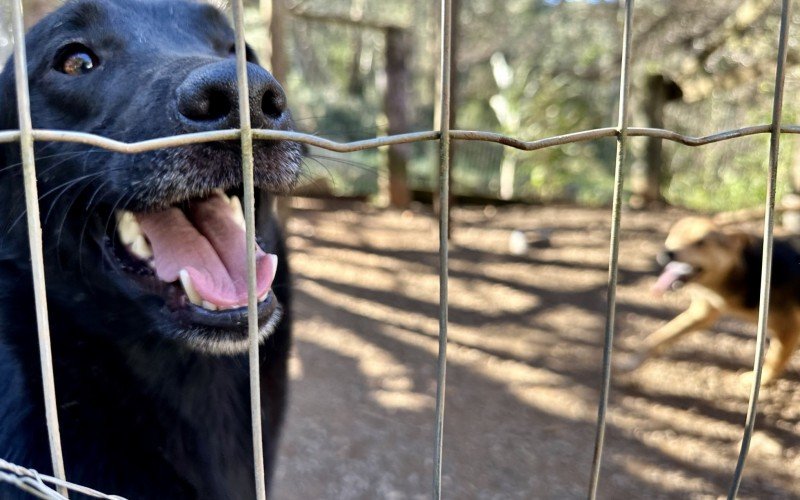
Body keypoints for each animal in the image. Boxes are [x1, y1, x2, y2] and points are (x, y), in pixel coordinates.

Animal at [624, 217, 800, 384]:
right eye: (674, 235)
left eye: (700, 243)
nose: (666, 254)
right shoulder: (702, 313)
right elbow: (660, 335)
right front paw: (632, 361)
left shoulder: (788, 328)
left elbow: (773, 360)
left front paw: (758, 381)